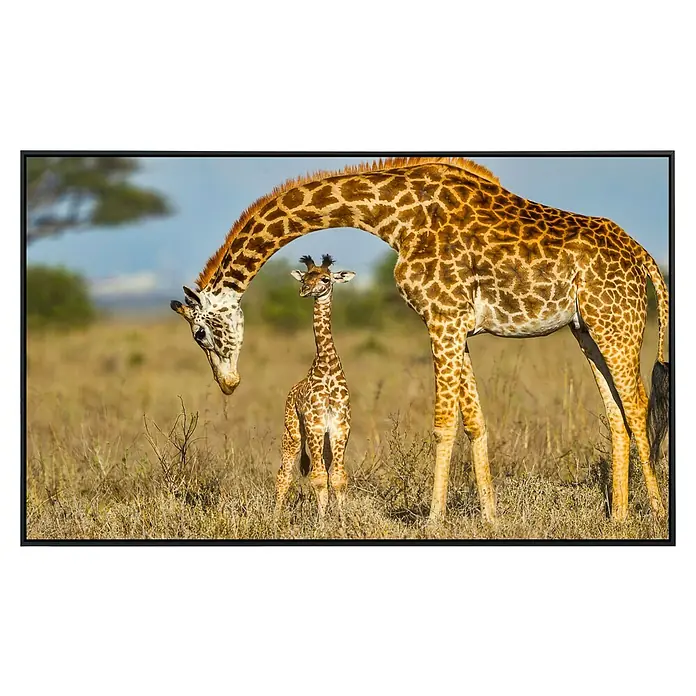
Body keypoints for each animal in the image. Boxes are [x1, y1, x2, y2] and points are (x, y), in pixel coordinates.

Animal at [274, 254, 355, 520]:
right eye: (305, 277)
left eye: (325, 278)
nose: (304, 290)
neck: (327, 365)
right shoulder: (315, 425)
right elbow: (318, 478)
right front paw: (321, 522)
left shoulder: (339, 427)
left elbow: (337, 478)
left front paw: (341, 521)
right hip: (293, 432)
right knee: (283, 474)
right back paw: (273, 520)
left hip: (326, 440)